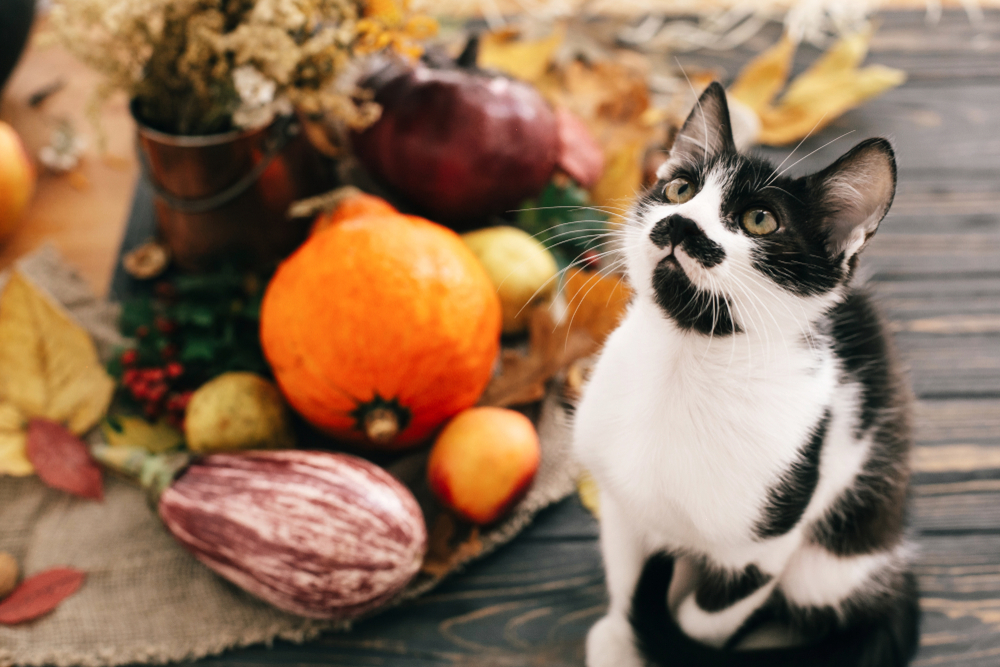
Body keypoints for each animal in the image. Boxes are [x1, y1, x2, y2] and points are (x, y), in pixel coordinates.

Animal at [576, 85, 916, 667]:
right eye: (679, 188)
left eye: (760, 221)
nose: (680, 223)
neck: (684, 367)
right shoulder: (622, 503)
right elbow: (628, 577)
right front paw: (621, 639)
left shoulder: (765, 546)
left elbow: (704, 621)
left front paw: (664, 643)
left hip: (835, 552)